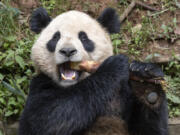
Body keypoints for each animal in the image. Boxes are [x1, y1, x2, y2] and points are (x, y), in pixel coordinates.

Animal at [18, 7, 169, 135]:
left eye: (83, 38)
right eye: (55, 37)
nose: (67, 51)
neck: (70, 86)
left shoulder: (122, 93)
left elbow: (150, 130)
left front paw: (146, 81)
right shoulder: (40, 84)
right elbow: (47, 119)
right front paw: (113, 66)